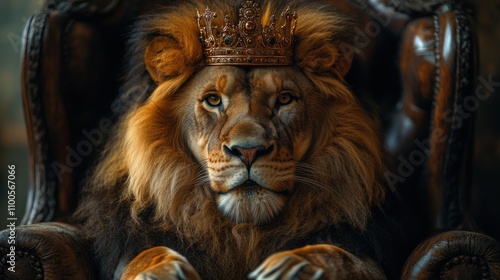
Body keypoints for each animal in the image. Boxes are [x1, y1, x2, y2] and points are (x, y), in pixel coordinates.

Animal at [74, 0, 402, 280]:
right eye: (213, 100)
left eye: (284, 99)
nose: (249, 151)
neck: (242, 233)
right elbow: (146, 254)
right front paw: (162, 270)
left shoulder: (365, 252)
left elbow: (341, 255)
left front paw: (295, 265)